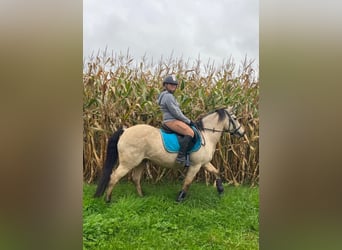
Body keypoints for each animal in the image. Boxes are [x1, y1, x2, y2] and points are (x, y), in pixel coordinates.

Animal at [93, 106, 244, 202]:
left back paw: (141, 197)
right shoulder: (195, 165)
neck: (206, 135)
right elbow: (188, 182)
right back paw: (108, 200)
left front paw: (220, 189)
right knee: (114, 177)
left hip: (141, 162)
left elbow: (216, 171)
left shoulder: (204, 163)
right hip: (128, 163)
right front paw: (180, 198)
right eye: (235, 118)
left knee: (135, 178)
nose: (243, 133)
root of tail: (125, 130)